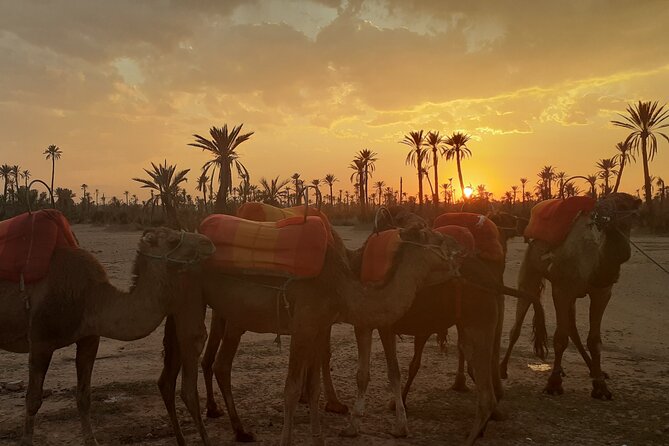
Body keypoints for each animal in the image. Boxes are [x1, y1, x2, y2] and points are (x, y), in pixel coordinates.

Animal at [0, 224, 215, 446]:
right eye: (172, 240)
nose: (208, 242)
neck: (91, 298)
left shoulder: (89, 338)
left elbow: (83, 397)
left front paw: (91, 440)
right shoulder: (41, 341)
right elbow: (33, 400)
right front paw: (26, 441)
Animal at [159, 224, 484, 445]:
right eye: (437, 238)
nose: (463, 246)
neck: (341, 285)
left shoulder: (318, 328)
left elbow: (313, 387)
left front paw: (318, 437)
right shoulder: (304, 325)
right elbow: (292, 388)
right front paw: (287, 441)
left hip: (220, 314)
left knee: (204, 368)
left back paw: (237, 430)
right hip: (203, 307)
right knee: (211, 364)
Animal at [500, 192, 641, 399]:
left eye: (624, 205)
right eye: (604, 202)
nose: (602, 217)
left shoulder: (602, 292)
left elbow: (594, 340)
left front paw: (600, 386)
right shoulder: (562, 289)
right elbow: (560, 337)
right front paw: (553, 384)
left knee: (573, 329)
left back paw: (593, 370)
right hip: (530, 269)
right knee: (518, 323)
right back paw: (502, 368)